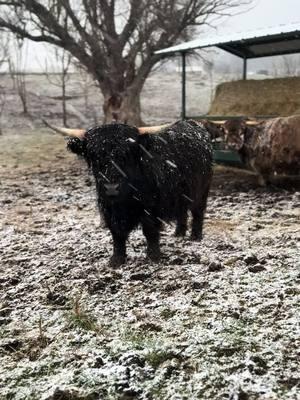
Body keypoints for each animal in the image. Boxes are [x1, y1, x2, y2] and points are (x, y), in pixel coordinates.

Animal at [68, 120, 213, 268]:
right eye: (93, 155)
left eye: (126, 155)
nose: (111, 188)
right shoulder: (108, 208)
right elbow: (116, 233)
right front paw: (116, 259)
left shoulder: (151, 207)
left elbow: (150, 230)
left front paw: (153, 256)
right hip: (181, 194)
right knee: (182, 211)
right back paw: (179, 233)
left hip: (202, 190)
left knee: (198, 212)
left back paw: (195, 237)